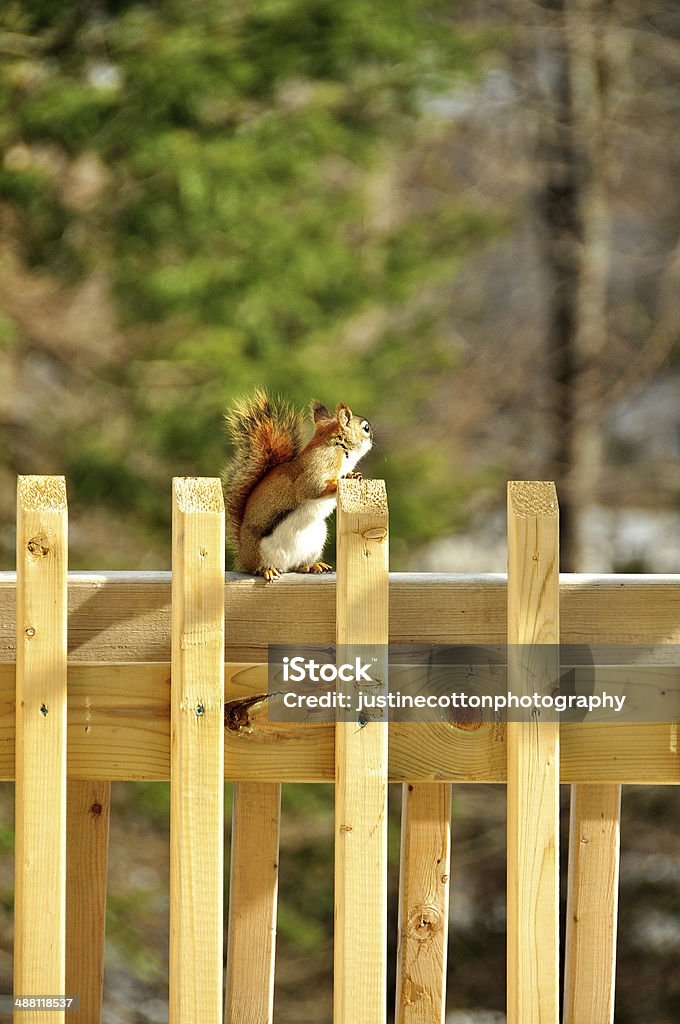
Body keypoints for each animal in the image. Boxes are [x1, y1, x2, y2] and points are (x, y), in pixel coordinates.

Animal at [222, 389, 372, 585]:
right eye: (366, 428)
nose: (372, 438)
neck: (336, 445)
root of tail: (242, 556)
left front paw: (352, 475)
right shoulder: (319, 466)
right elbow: (312, 487)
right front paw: (344, 478)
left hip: (315, 541)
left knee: (298, 565)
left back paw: (312, 566)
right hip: (258, 552)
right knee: (258, 568)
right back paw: (267, 570)